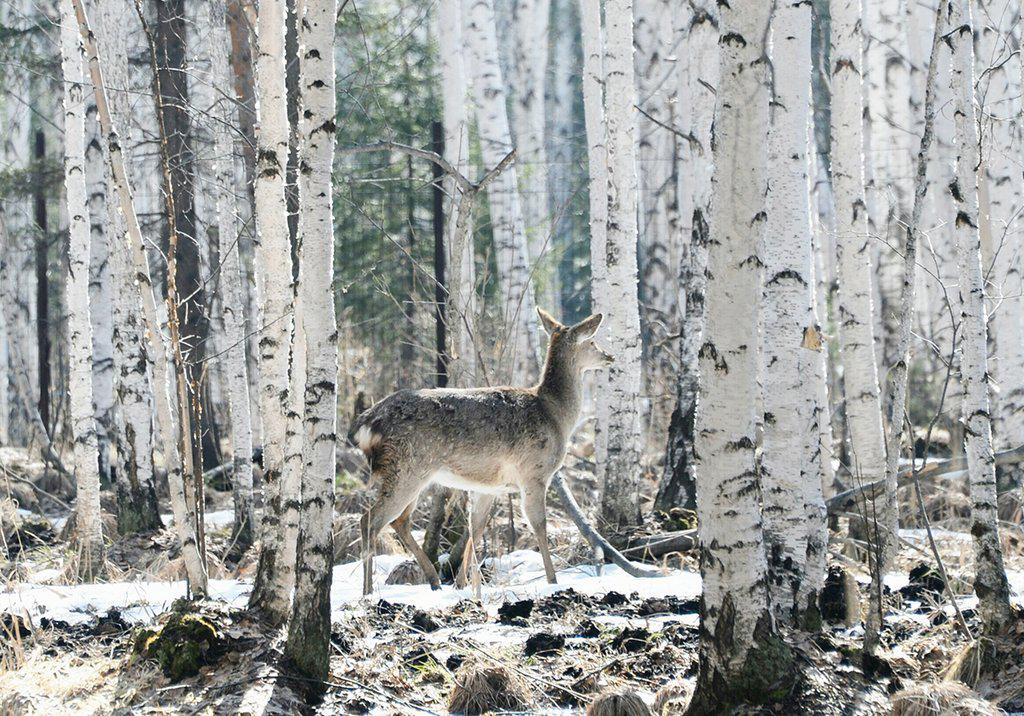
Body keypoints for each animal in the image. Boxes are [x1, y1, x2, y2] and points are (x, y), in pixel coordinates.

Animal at [354, 311, 606, 598]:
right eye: (592, 342)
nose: (609, 356)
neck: (555, 415)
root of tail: (366, 423)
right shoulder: (534, 472)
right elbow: (538, 524)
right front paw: (552, 579)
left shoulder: (489, 486)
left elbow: (475, 528)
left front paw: (464, 585)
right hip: (407, 467)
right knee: (371, 520)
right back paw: (368, 590)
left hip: (412, 472)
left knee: (400, 521)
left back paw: (434, 579)